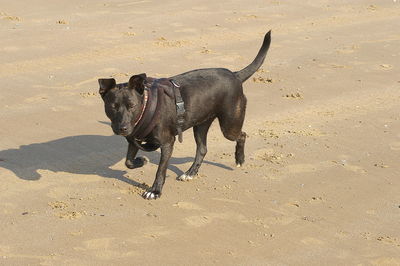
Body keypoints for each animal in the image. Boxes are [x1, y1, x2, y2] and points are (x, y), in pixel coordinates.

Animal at [98, 30, 270, 198]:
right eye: (113, 106)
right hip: (201, 125)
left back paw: (239, 158)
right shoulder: (134, 140)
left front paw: (155, 190)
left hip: (229, 125)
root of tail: (235, 75)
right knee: (202, 149)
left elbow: (160, 170)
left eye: (132, 106)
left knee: (242, 135)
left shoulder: (167, 142)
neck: (146, 107)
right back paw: (190, 173)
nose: (122, 128)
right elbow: (128, 162)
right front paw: (141, 161)